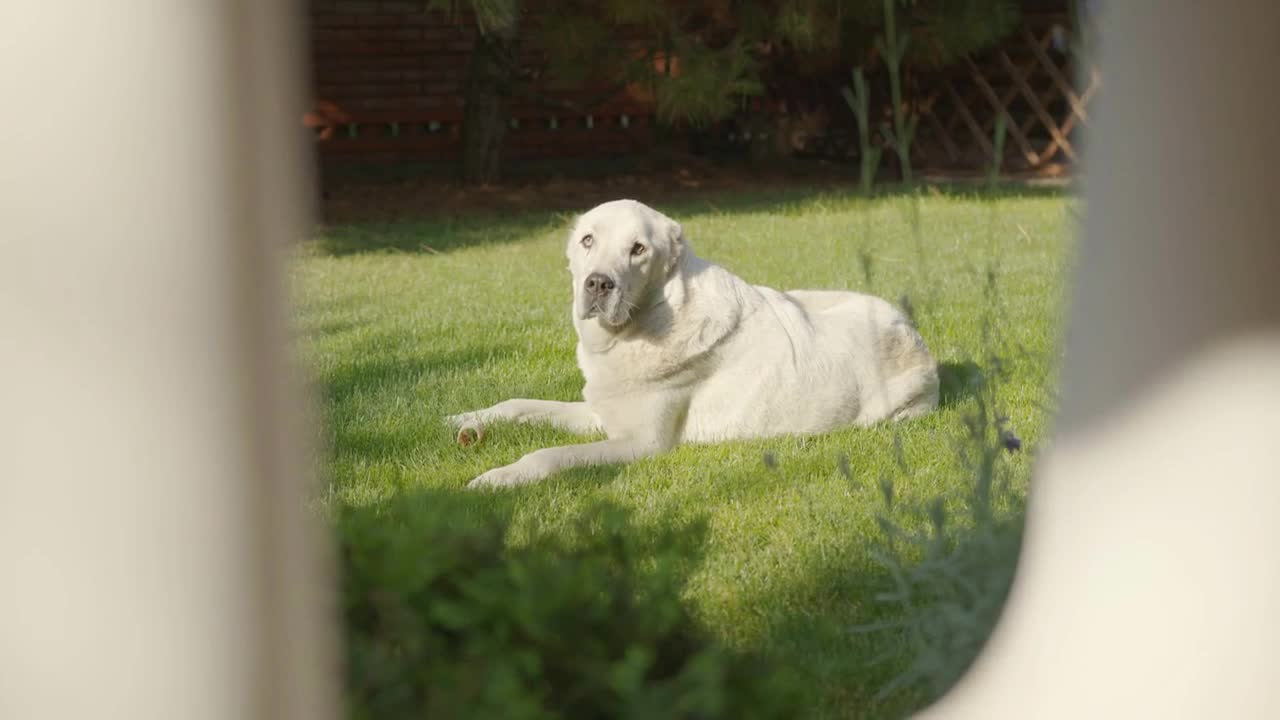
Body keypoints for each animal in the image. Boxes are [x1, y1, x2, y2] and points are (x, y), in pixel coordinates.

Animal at [450, 198, 942, 484]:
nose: (598, 284)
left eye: (638, 249)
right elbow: (519, 405)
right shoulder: (599, 414)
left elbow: (547, 455)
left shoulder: (641, 443)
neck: (642, 325)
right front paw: (465, 418)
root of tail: (913, 330)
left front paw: (495, 478)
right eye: (588, 240)